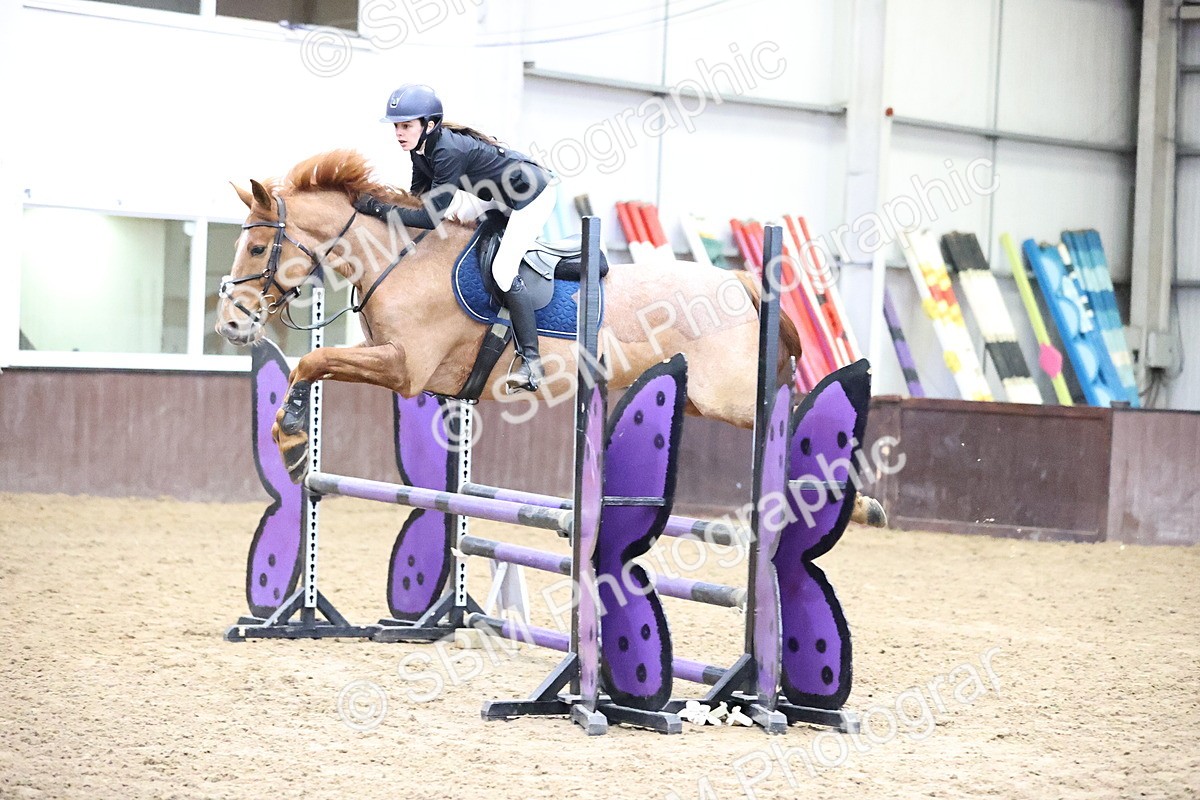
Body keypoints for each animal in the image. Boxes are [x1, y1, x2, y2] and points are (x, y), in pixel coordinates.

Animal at [215, 150, 885, 527]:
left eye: (258, 246)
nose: (230, 323)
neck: (399, 259)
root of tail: (740, 281)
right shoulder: (400, 367)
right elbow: (317, 363)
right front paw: (293, 438)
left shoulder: (404, 367)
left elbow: (314, 362)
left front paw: (292, 439)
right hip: (699, 397)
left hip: (728, 396)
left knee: (786, 417)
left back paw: (856, 503)